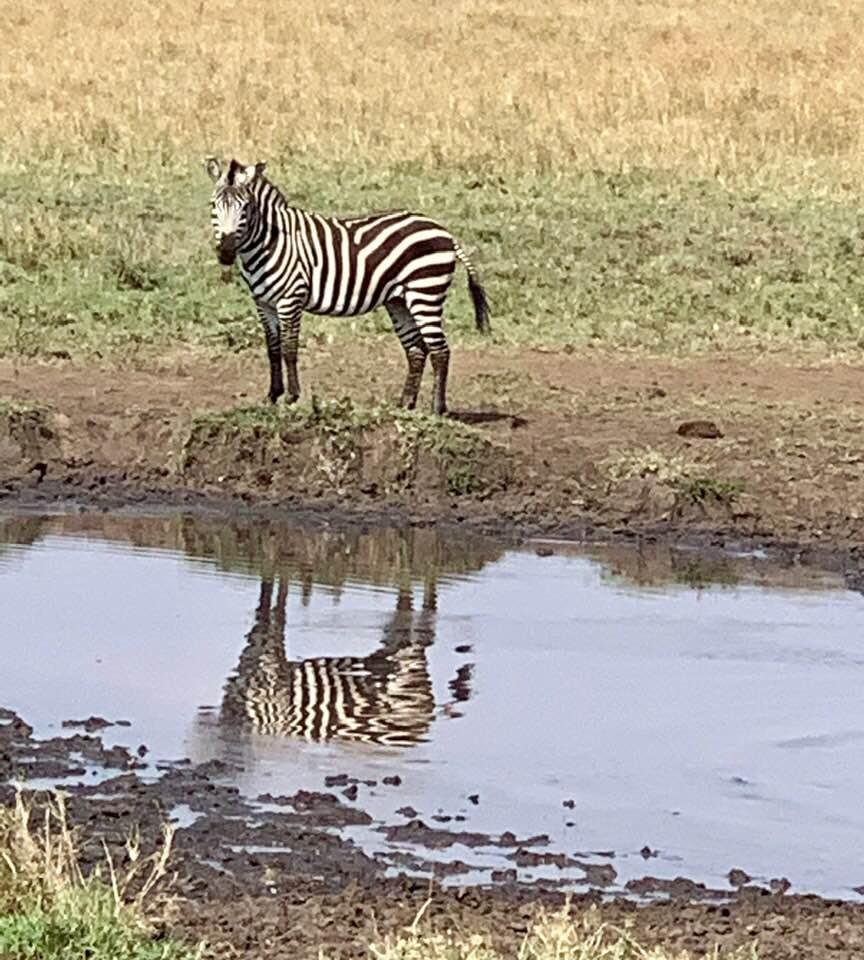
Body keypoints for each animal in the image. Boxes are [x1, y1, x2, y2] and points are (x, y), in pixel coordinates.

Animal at [205, 157, 490, 415]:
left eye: (245, 208)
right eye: (214, 206)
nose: (226, 253)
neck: (269, 241)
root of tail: (445, 232)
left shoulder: (291, 298)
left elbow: (289, 348)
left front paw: (292, 397)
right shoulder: (263, 303)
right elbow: (272, 349)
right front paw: (273, 395)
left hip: (425, 292)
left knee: (440, 351)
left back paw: (437, 409)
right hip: (399, 301)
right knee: (417, 350)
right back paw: (404, 405)